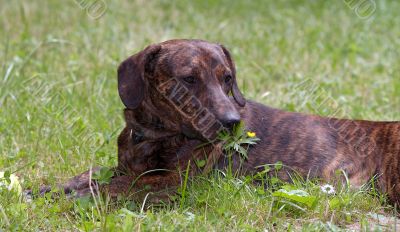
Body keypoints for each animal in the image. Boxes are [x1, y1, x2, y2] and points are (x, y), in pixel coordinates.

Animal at [28, 39, 400, 205]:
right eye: (189, 79)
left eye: (227, 78)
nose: (231, 122)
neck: (157, 135)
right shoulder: (126, 166)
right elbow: (90, 173)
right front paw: (46, 188)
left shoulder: (176, 185)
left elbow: (116, 187)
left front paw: (73, 197)